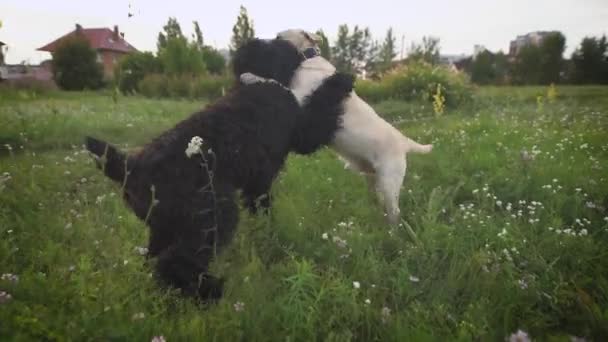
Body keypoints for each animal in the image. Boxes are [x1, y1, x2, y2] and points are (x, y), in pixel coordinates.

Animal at [83, 37, 354, 302]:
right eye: (279, 44)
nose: (307, 51)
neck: (257, 79)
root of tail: (130, 166)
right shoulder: (301, 133)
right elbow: (320, 109)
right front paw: (341, 78)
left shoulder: (257, 185)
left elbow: (261, 208)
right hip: (212, 216)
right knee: (174, 262)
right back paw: (209, 290)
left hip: (164, 226)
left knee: (154, 260)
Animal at [242, 29, 432, 224]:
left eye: (279, 37)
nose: (254, 42)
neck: (308, 58)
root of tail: (404, 142)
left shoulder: (300, 96)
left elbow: (275, 83)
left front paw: (249, 76)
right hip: (374, 180)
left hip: (389, 182)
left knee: (395, 212)